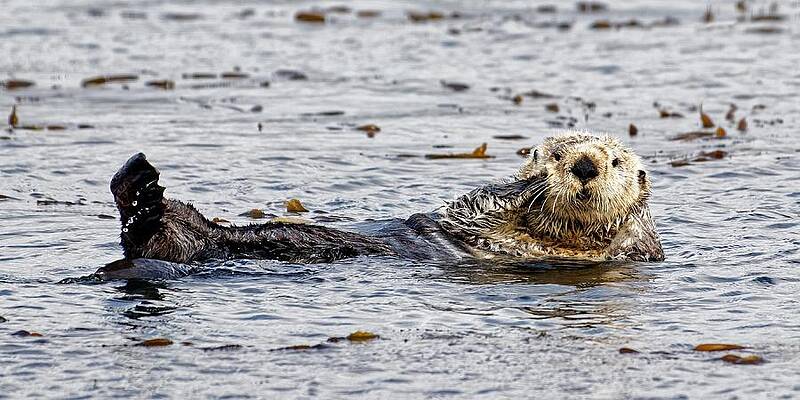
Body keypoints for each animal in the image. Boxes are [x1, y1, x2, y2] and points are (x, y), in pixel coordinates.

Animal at [102, 132, 663, 278]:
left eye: (614, 161)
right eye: (558, 154)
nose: (585, 165)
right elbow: (474, 203)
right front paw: (527, 184)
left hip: (178, 241)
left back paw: (144, 198)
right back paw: (139, 182)